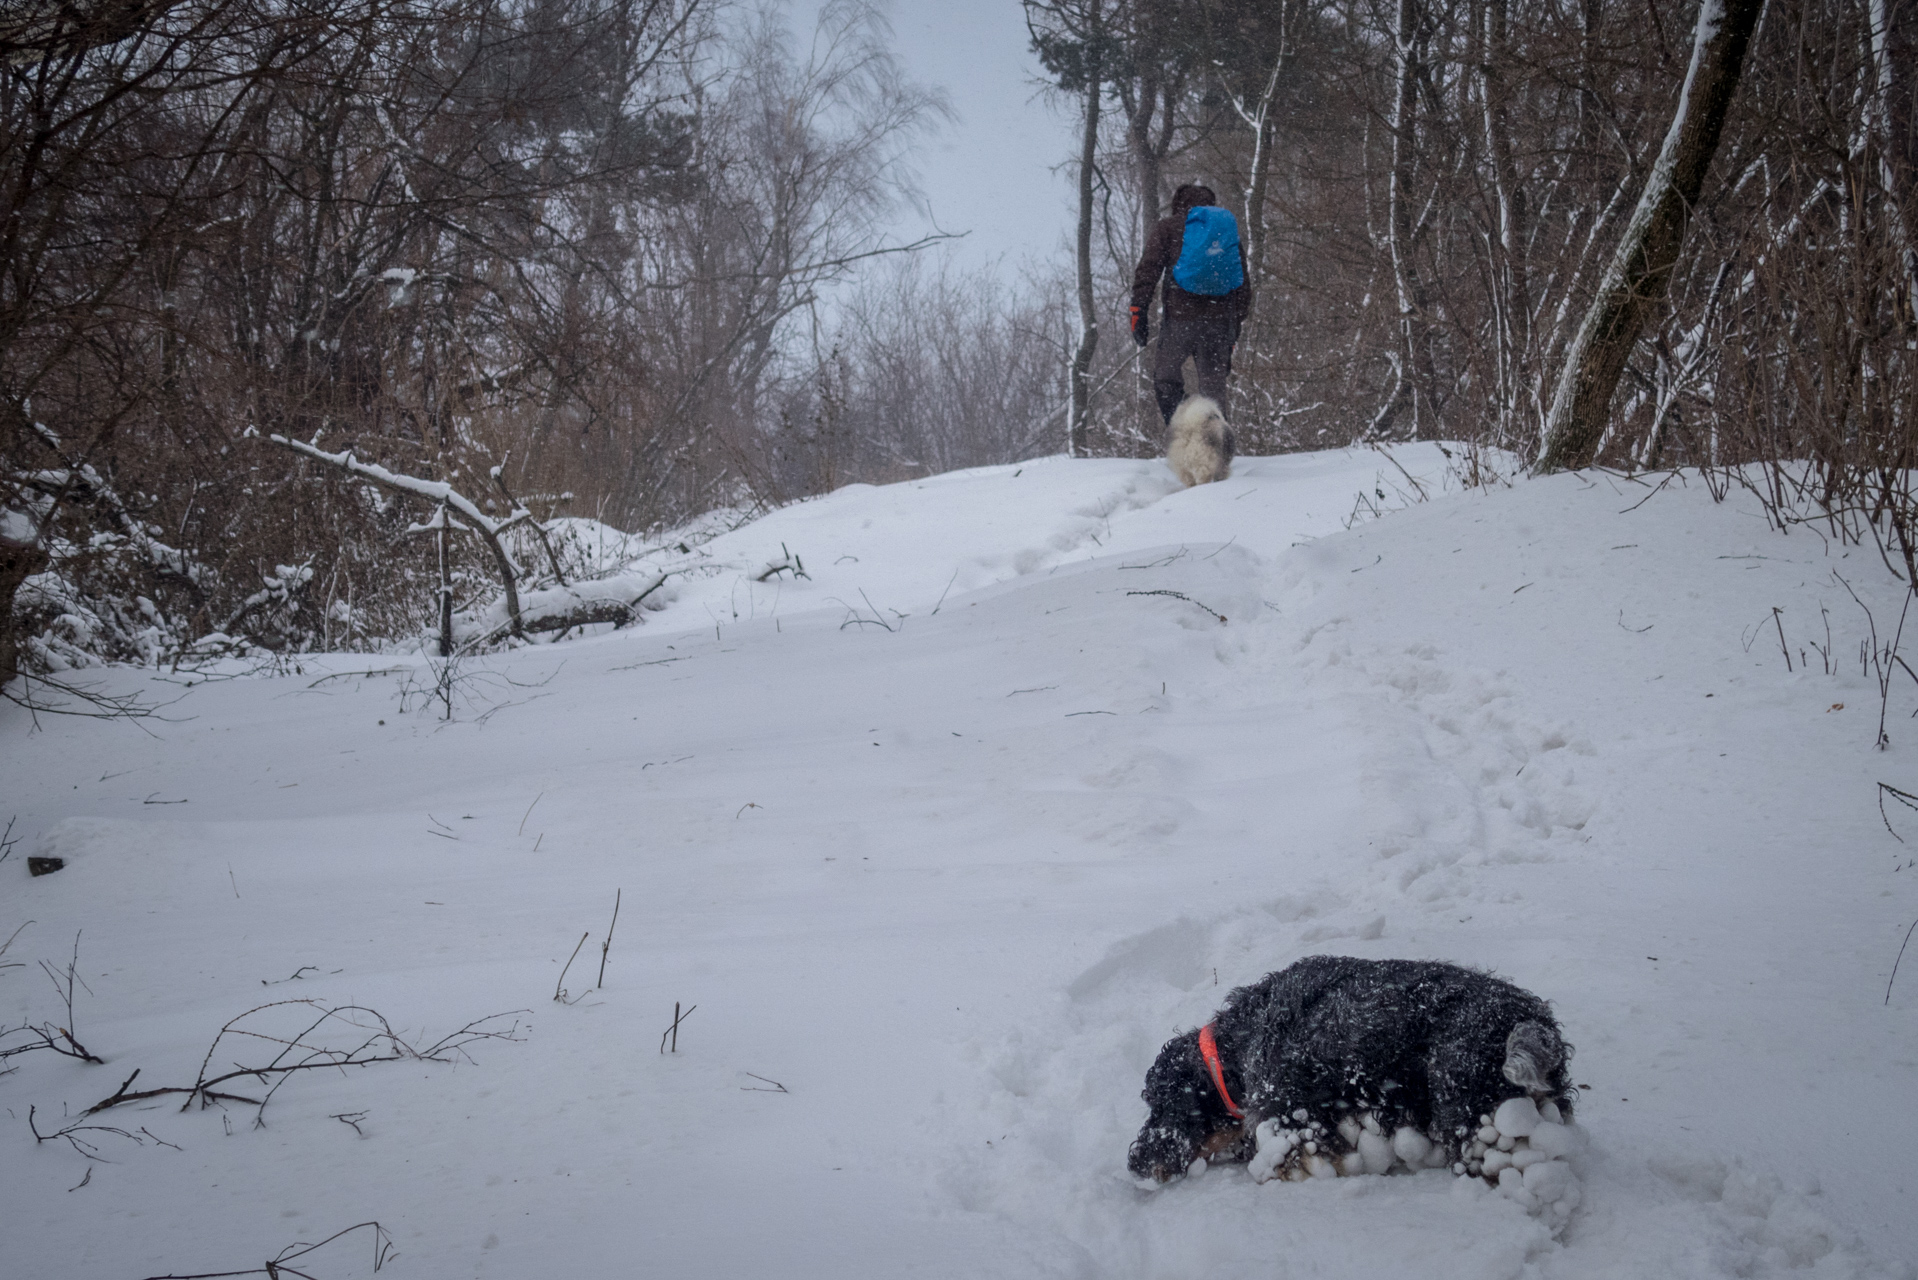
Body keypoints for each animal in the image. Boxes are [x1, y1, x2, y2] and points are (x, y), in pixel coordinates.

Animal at [1127, 955, 1565, 1189]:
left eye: (1162, 1105)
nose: (1135, 1163)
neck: (1239, 1044)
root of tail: (1529, 1020)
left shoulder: (1296, 1127)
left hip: (1472, 1123)